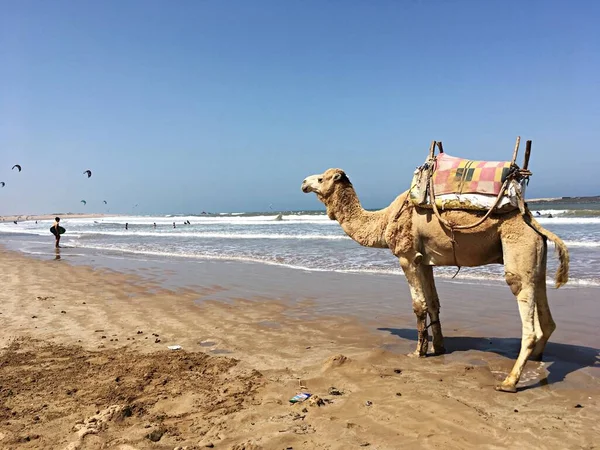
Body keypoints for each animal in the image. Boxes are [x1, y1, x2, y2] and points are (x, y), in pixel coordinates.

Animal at [302, 167, 568, 392]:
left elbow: (418, 305)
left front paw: (418, 352)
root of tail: (534, 223)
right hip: (536, 256)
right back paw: (536, 363)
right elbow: (433, 303)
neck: (384, 219)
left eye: (321, 178)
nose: (303, 182)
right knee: (544, 307)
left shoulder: (407, 256)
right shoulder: (425, 261)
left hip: (518, 248)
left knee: (525, 308)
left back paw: (509, 382)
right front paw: (438, 347)